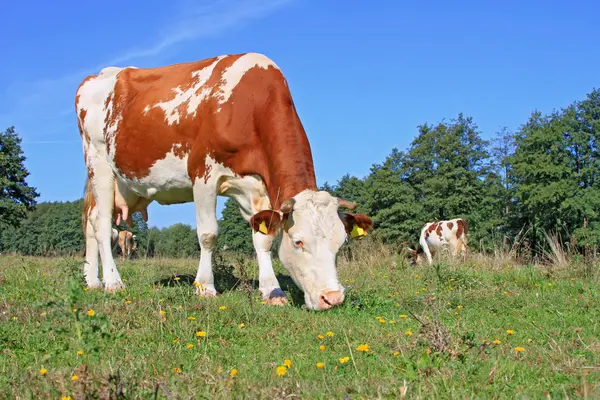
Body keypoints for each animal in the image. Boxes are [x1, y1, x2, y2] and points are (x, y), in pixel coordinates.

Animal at [77, 51, 372, 310]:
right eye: (299, 242)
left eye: (341, 243)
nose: (332, 298)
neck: (249, 103)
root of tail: (98, 75)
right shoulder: (203, 175)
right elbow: (208, 234)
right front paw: (205, 287)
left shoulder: (260, 188)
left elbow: (263, 239)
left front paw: (272, 291)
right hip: (98, 163)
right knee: (102, 225)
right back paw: (113, 282)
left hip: (125, 183)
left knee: (91, 221)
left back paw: (92, 281)